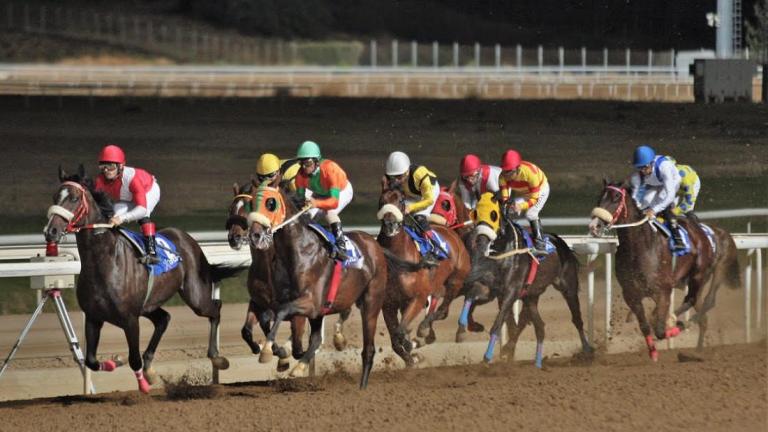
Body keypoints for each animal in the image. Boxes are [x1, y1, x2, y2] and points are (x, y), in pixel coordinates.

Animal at [44, 166, 237, 394]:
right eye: (55, 196)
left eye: (74, 198)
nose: (50, 231)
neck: (104, 263)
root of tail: (188, 239)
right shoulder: (93, 317)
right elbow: (91, 360)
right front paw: (115, 362)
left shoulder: (130, 319)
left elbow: (133, 358)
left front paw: (143, 385)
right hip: (149, 305)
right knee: (164, 319)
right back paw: (150, 368)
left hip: (195, 296)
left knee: (215, 308)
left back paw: (217, 357)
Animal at [248, 185, 388, 388]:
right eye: (250, 202)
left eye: (271, 203)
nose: (255, 235)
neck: (298, 251)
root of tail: (374, 243)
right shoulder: (281, 301)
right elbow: (270, 319)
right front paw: (280, 353)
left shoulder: (312, 303)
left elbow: (282, 311)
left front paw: (266, 351)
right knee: (317, 338)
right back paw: (301, 365)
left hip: (372, 302)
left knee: (368, 349)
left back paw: (361, 387)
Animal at [376, 181, 472, 366]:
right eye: (382, 200)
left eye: (401, 200)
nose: (390, 225)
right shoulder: (388, 304)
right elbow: (395, 340)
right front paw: (411, 359)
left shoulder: (418, 298)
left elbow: (401, 332)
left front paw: (412, 344)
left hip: (455, 281)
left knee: (442, 310)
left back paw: (423, 331)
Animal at [462, 192, 592, 368]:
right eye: (475, 213)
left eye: (493, 215)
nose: (479, 237)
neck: (505, 250)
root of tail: (561, 242)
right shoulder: (494, 290)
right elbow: (471, 297)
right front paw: (469, 324)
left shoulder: (511, 291)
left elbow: (497, 325)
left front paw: (487, 358)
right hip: (532, 295)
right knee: (538, 325)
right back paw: (532, 360)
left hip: (568, 287)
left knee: (576, 319)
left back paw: (587, 350)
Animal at [592, 179, 740, 358]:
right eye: (600, 197)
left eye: (616, 198)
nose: (594, 225)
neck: (640, 248)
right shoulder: (631, 293)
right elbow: (645, 325)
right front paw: (652, 352)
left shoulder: (662, 291)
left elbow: (660, 329)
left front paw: (670, 325)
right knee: (700, 312)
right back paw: (697, 348)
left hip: (708, 272)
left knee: (703, 300)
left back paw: (680, 323)